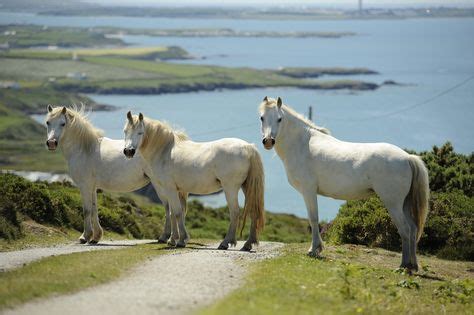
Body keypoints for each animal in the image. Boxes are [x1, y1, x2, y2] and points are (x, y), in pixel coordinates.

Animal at [44, 107, 173, 246]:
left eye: (63, 123)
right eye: (48, 122)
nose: (51, 143)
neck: (85, 149)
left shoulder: (85, 186)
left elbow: (86, 210)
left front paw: (85, 237)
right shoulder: (92, 188)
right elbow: (94, 209)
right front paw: (95, 237)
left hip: (159, 185)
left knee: (168, 207)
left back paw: (164, 237)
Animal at [122, 111, 264, 252]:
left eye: (140, 132)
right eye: (125, 131)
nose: (128, 151)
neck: (165, 150)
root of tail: (248, 147)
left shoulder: (169, 189)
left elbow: (177, 213)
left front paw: (180, 241)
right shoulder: (177, 190)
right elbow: (175, 212)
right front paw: (174, 239)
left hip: (230, 188)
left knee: (234, 212)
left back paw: (225, 243)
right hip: (246, 186)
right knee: (253, 211)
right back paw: (247, 244)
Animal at [260, 97, 430, 272]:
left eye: (280, 118)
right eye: (262, 118)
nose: (268, 141)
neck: (302, 144)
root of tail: (408, 157)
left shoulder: (308, 191)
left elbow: (313, 219)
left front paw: (314, 250)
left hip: (393, 203)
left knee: (405, 229)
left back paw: (403, 266)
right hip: (404, 204)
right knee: (413, 229)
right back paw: (413, 265)